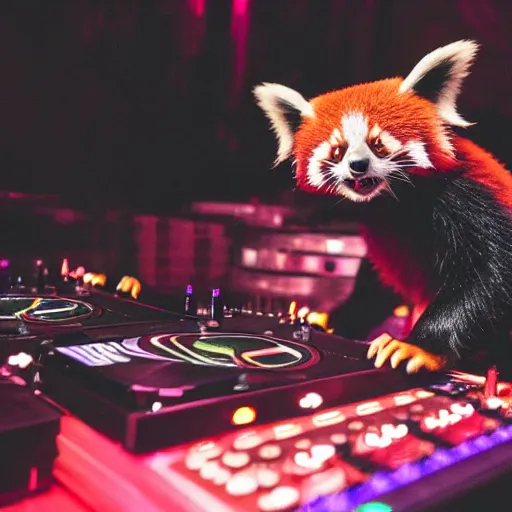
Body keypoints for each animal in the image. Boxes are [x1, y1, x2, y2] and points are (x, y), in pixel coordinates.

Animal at [254, 40, 512, 374]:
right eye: (338, 150)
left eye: (378, 144)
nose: (358, 166)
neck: (393, 201)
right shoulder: (387, 239)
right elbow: (376, 283)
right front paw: (324, 319)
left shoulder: (466, 196)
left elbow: (492, 273)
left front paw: (417, 346)